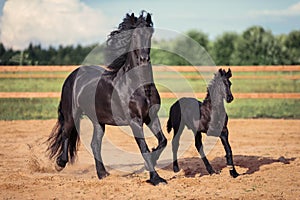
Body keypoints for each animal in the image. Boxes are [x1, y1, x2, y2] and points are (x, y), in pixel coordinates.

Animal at [48, 11, 168, 185]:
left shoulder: (151, 117)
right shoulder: (135, 121)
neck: (139, 87)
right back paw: (60, 163)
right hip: (71, 114)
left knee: (94, 144)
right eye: (134, 36)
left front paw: (152, 162)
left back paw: (102, 174)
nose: (144, 59)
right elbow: (143, 148)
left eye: (150, 34)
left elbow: (162, 141)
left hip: (98, 121)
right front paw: (156, 178)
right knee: (66, 133)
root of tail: (73, 75)